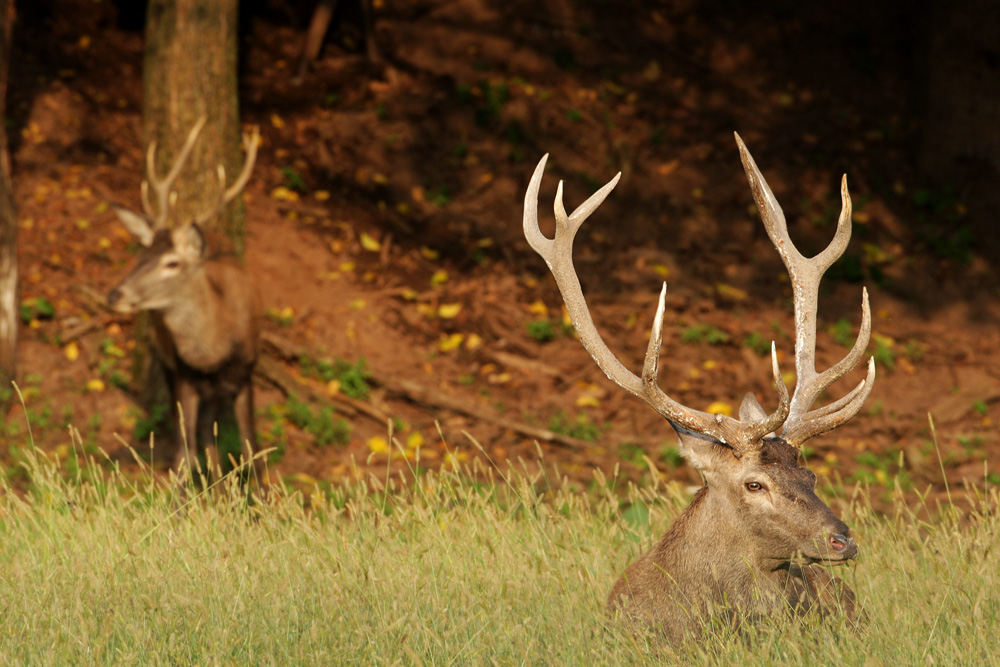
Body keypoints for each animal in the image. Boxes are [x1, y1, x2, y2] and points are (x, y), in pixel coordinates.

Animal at [107, 117, 265, 485]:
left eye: (172, 263)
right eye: (141, 255)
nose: (115, 294)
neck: (214, 356)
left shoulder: (247, 374)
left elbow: (252, 451)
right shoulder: (185, 377)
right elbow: (184, 454)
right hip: (170, 368)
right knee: (198, 440)